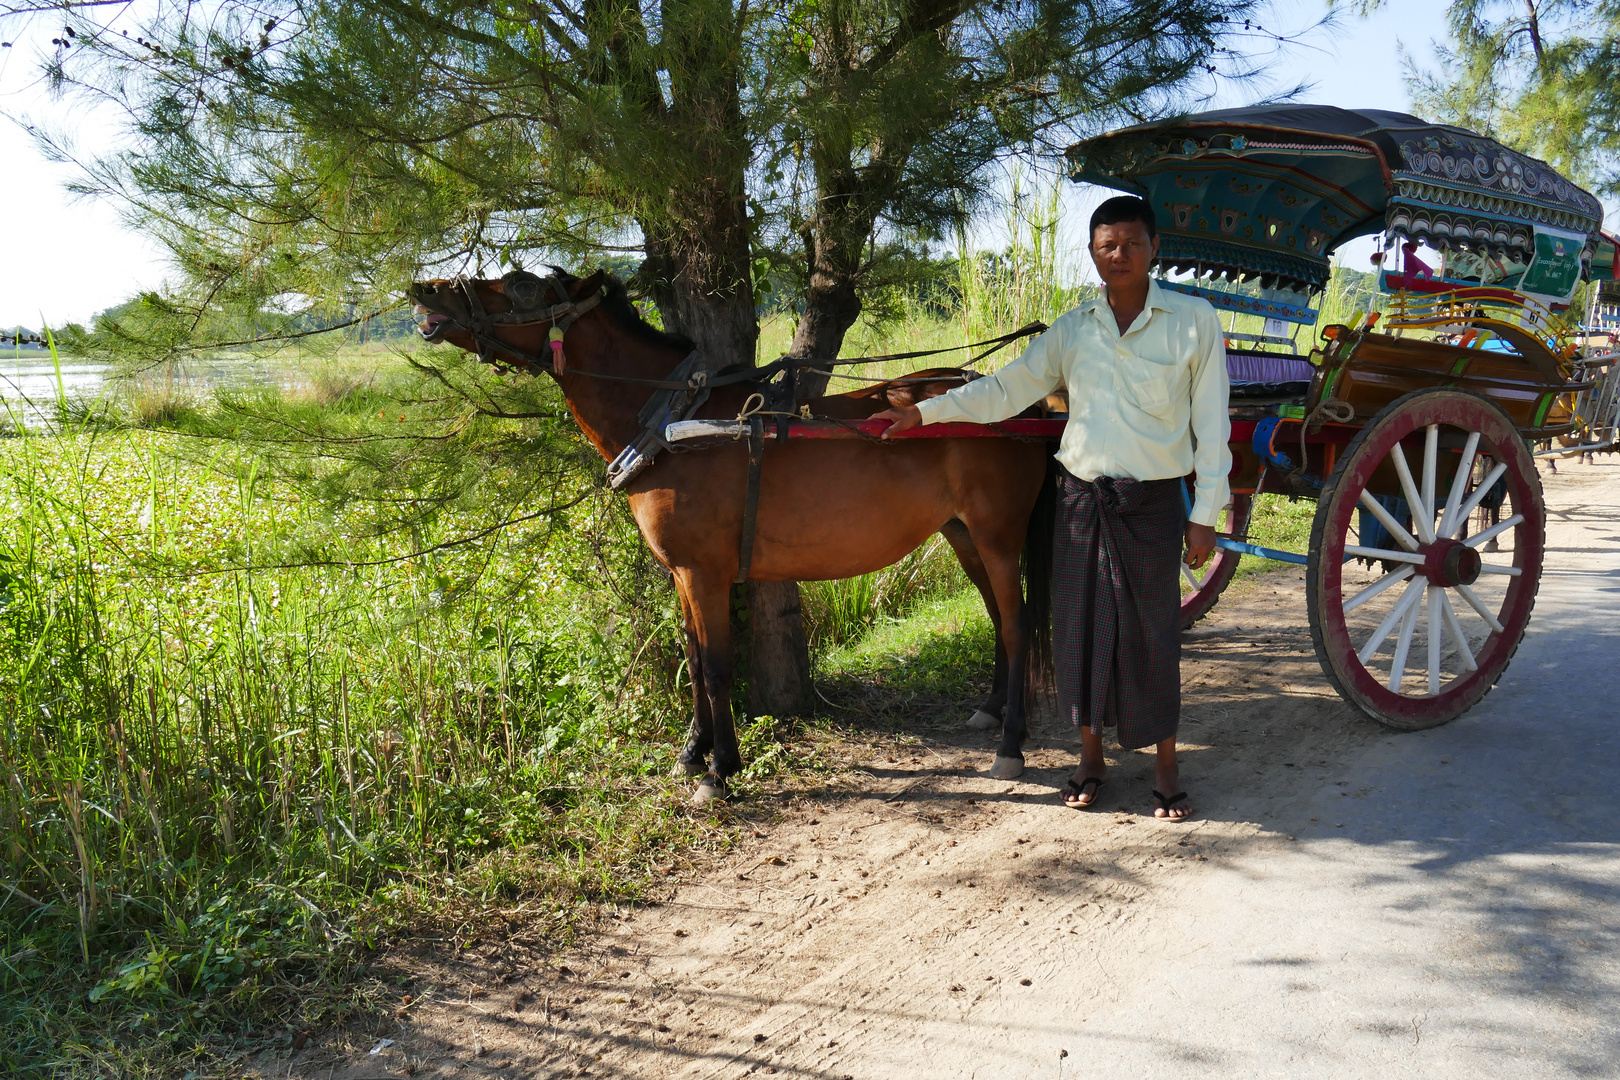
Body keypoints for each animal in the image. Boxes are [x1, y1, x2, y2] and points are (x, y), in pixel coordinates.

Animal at [411, 270, 1056, 803]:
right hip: (963, 535)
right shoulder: (681, 572)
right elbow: (695, 660)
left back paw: (1011, 745)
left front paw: (721, 770)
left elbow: (719, 666)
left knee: (1017, 623)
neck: (674, 424)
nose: (426, 289)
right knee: (1000, 617)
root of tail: (1028, 406)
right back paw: (991, 710)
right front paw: (692, 753)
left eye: (521, 285)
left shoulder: (705, 573)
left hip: (999, 535)